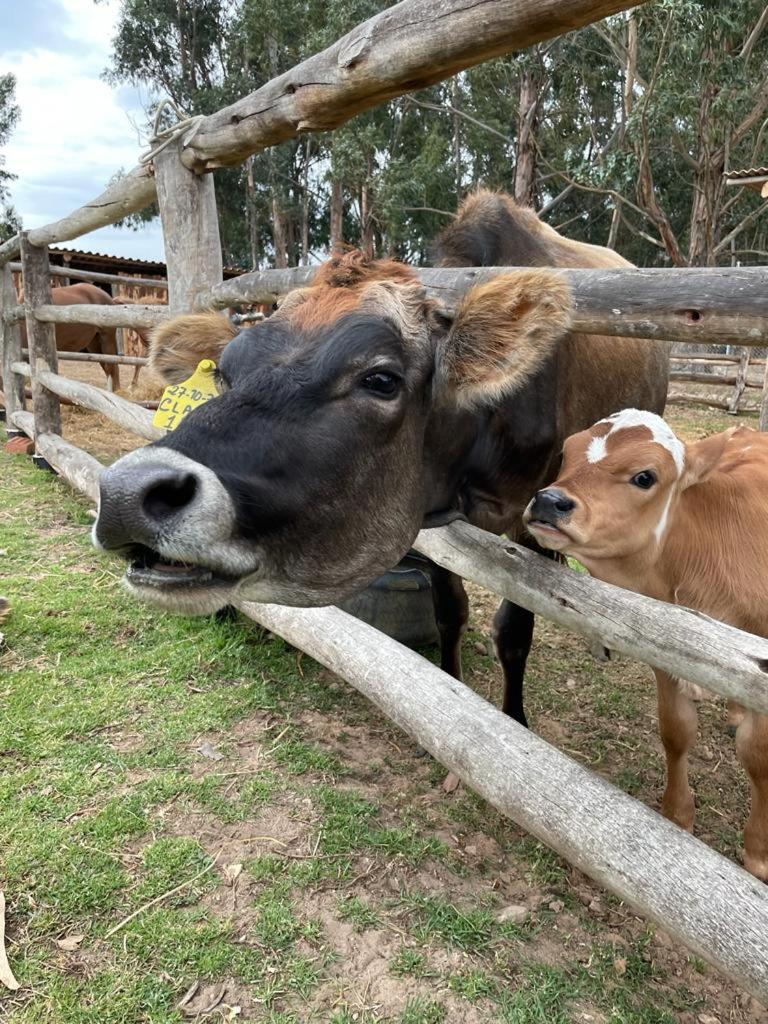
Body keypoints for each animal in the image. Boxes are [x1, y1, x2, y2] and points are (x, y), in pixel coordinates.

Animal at [92, 191, 669, 727]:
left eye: (381, 379)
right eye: (226, 374)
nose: (124, 495)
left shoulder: (537, 513)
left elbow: (515, 629)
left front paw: (514, 720)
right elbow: (450, 612)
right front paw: (454, 681)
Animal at [524, 409, 768, 881]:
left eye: (644, 476)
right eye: (566, 452)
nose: (549, 501)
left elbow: (758, 758)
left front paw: (759, 852)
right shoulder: (665, 651)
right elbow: (675, 731)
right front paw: (677, 816)